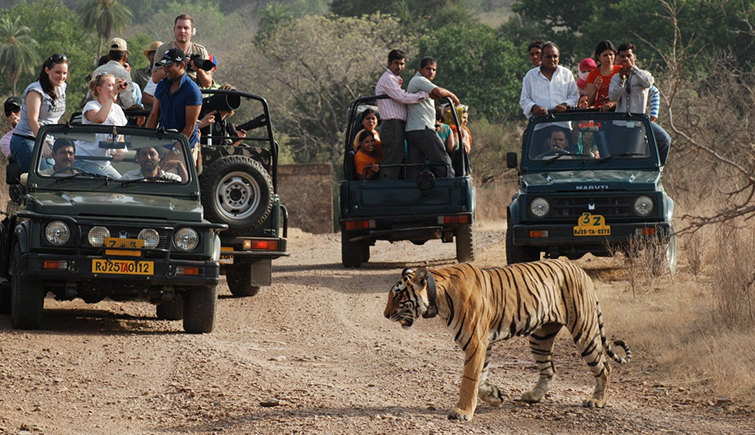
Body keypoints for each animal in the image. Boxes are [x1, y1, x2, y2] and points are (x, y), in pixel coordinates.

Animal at [384, 258, 632, 422]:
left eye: (397, 295)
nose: (385, 315)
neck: (439, 297)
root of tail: (579, 269)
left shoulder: (476, 342)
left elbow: (469, 380)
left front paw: (462, 411)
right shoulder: (483, 344)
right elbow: (480, 378)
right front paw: (494, 397)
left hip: (584, 330)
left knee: (604, 367)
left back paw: (597, 401)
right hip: (540, 336)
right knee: (549, 369)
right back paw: (534, 395)